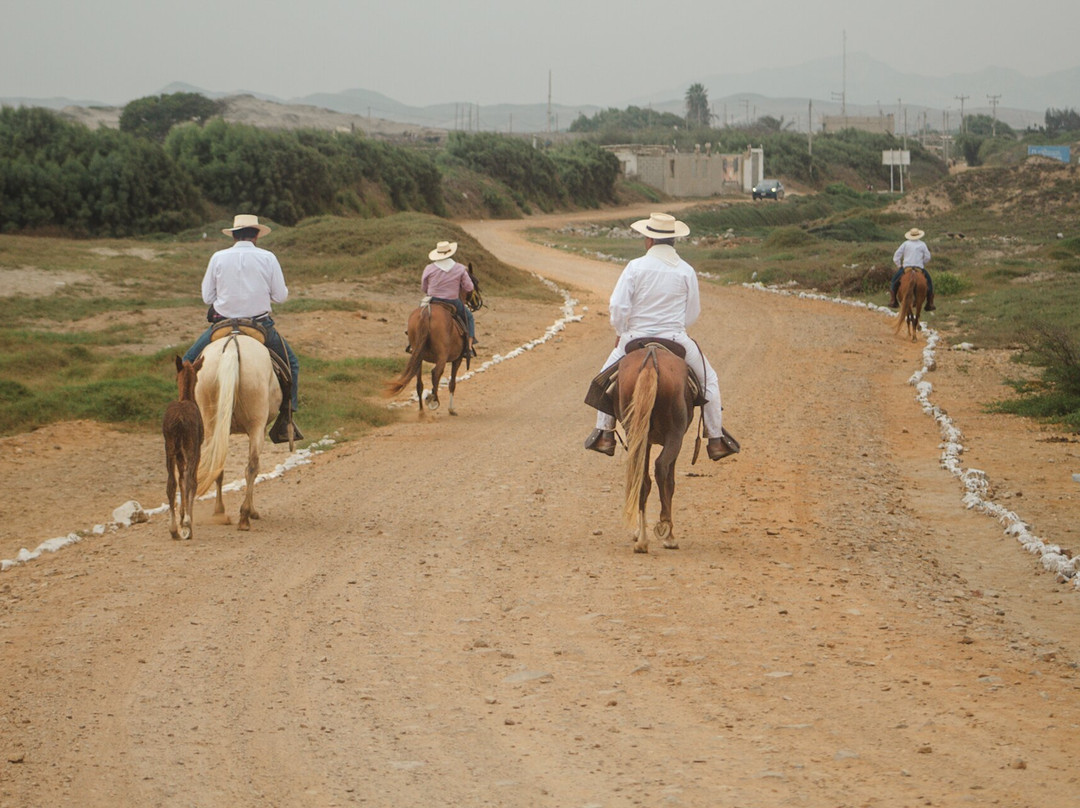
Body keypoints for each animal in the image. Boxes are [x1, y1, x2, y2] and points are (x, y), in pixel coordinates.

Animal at [194, 331, 281, 531]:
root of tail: (232, 348)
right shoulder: (259, 428)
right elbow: (254, 467)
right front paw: (252, 511)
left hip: (211, 424)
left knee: (217, 464)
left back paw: (219, 512)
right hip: (256, 424)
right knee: (252, 467)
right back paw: (244, 516)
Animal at [614, 343, 695, 553]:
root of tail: (651, 362)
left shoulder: (646, 441)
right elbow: (671, 483)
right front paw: (670, 537)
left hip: (636, 433)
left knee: (641, 477)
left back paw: (642, 540)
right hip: (675, 435)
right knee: (660, 468)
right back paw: (665, 528)